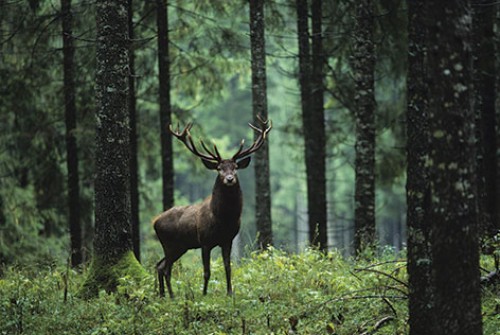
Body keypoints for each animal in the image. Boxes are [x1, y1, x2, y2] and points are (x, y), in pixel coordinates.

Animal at [154, 117, 272, 298]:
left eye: (235, 168)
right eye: (219, 168)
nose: (229, 179)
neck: (223, 219)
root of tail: (154, 222)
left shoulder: (228, 240)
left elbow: (228, 267)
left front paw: (230, 293)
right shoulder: (205, 241)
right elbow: (207, 271)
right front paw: (204, 294)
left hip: (180, 246)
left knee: (160, 265)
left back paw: (163, 295)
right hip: (169, 243)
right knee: (165, 268)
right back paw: (171, 296)